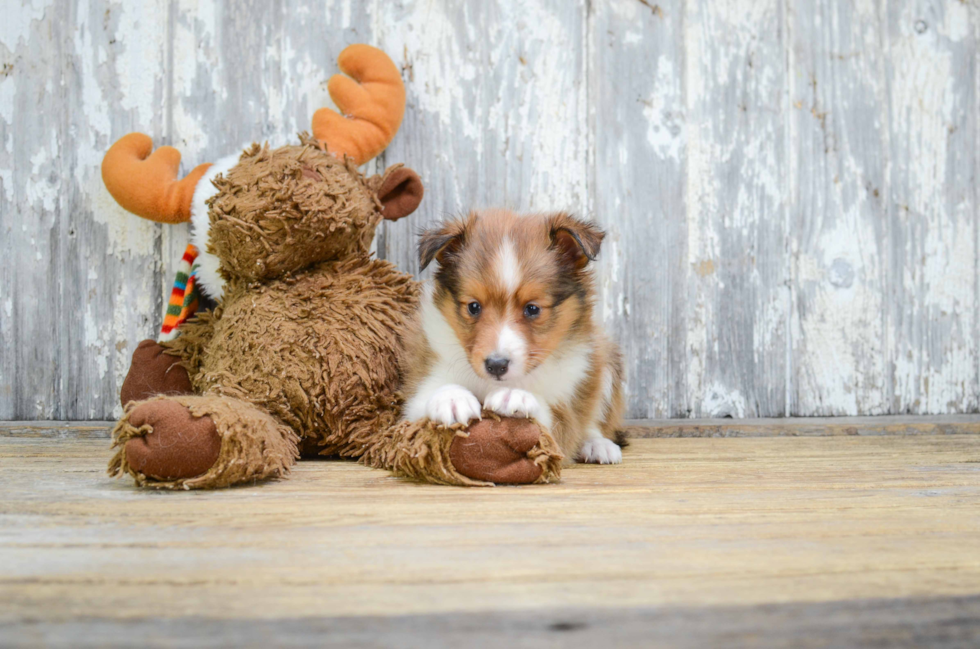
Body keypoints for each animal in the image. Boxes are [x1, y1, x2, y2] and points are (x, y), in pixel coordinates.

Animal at [400, 210, 624, 464]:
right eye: (474, 307)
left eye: (532, 309)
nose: (496, 365)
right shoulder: (420, 387)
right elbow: (427, 399)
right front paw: (451, 398)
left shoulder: (566, 413)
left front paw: (515, 396)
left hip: (606, 361)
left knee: (594, 421)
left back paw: (598, 445)